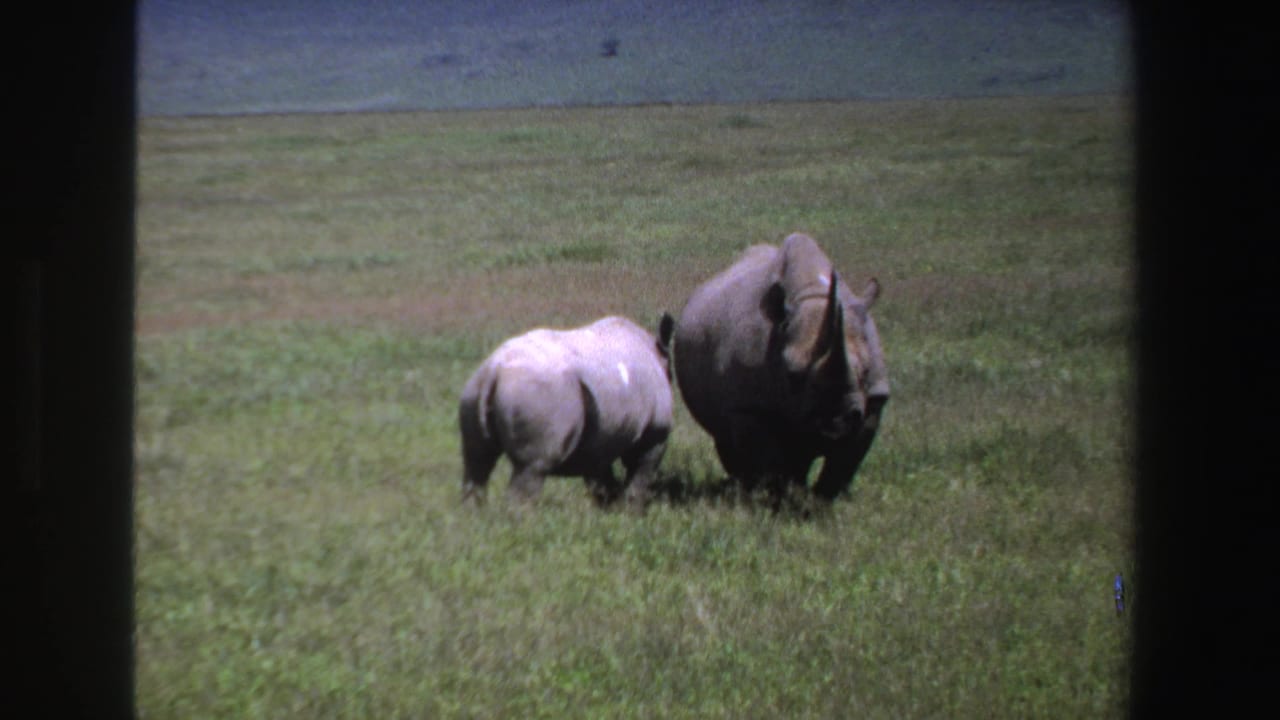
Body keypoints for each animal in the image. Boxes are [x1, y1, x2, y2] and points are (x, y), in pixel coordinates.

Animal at [458, 314, 676, 509]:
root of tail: (494, 371)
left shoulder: (600, 437)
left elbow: (600, 478)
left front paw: (607, 512)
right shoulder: (655, 433)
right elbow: (639, 475)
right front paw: (630, 514)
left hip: (474, 391)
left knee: (477, 462)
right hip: (538, 393)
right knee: (532, 468)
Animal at [674, 233, 888, 501]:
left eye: (867, 371)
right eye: (792, 374)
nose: (836, 421)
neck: (814, 295)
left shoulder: (873, 402)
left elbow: (843, 464)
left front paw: (821, 502)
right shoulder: (749, 406)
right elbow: (770, 462)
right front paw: (777, 500)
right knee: (727, 439)